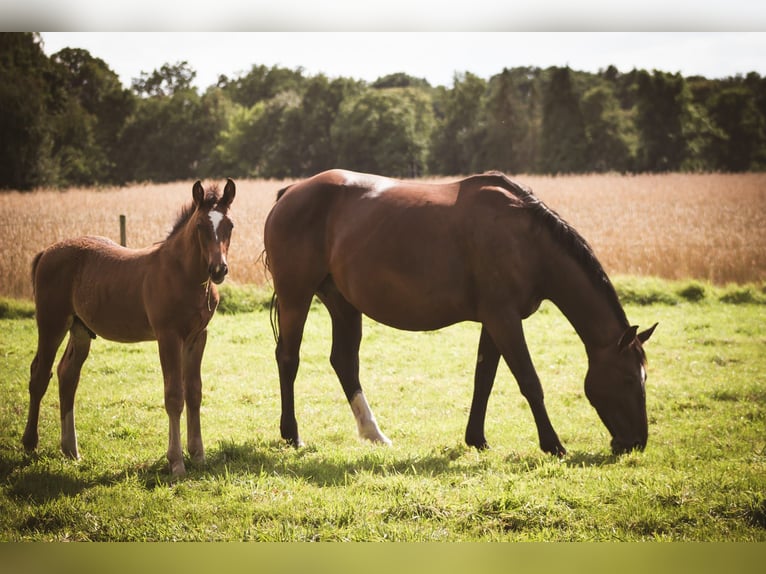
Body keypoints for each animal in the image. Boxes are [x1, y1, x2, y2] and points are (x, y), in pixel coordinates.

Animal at [22, 179, 236, 477]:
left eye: (230, 225)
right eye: (200, 226)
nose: (218, 269)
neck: (183, 275)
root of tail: (46, 252)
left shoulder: (197, 337)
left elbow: (194, 392)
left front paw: (198, 455)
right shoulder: (168, 336)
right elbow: (174, 395)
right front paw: (176, 463)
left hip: (80, 328)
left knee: (67, 374)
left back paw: (71, 450)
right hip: (52, 322)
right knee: (40, 374)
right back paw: (30, 443)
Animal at [264, 169, 657, 457]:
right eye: (627, 379)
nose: (636, 443)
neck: (528, 241)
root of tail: (292, 191)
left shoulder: (495, 321)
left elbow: (484, 379)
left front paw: (477, 439)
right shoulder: (504, 319)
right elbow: (529, 381)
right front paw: (553, 445)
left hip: (343, 303)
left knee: (344, 362)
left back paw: (374, 433)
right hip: (296, 297)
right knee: (288, 359)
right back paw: (292, 435)